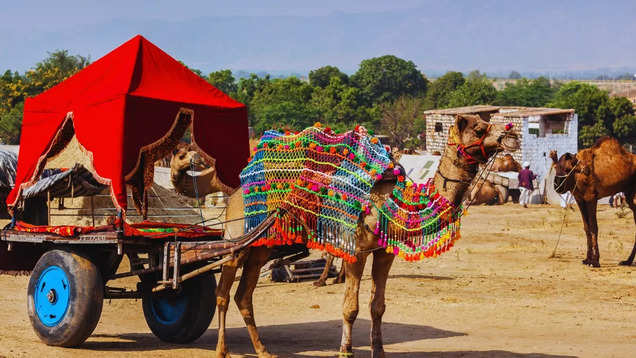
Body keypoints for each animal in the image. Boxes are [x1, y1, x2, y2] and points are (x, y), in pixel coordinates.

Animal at [171, 115, 520, 358]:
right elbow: (350, 307)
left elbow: (377, 306)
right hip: (237, 239)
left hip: (263, 246)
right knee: (222, 292)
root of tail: (234, 190)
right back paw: (222, 351)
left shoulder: (384, 252)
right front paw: (345, 350)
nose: (513, 135)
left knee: (244, 295)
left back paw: (262, 350)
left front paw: (378, 351)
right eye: (479, 128)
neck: (392, 199)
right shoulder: (357, 248)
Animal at [548, 136, 636, 268]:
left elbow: (594, 227)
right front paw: (587, 259)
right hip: (631, 196)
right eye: (556, 167)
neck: (580, 172)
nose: (557, 185)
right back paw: (627, 261)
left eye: (567, 169)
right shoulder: (580, 199)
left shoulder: (591, 198)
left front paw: (595, 261)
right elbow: (587, 227)